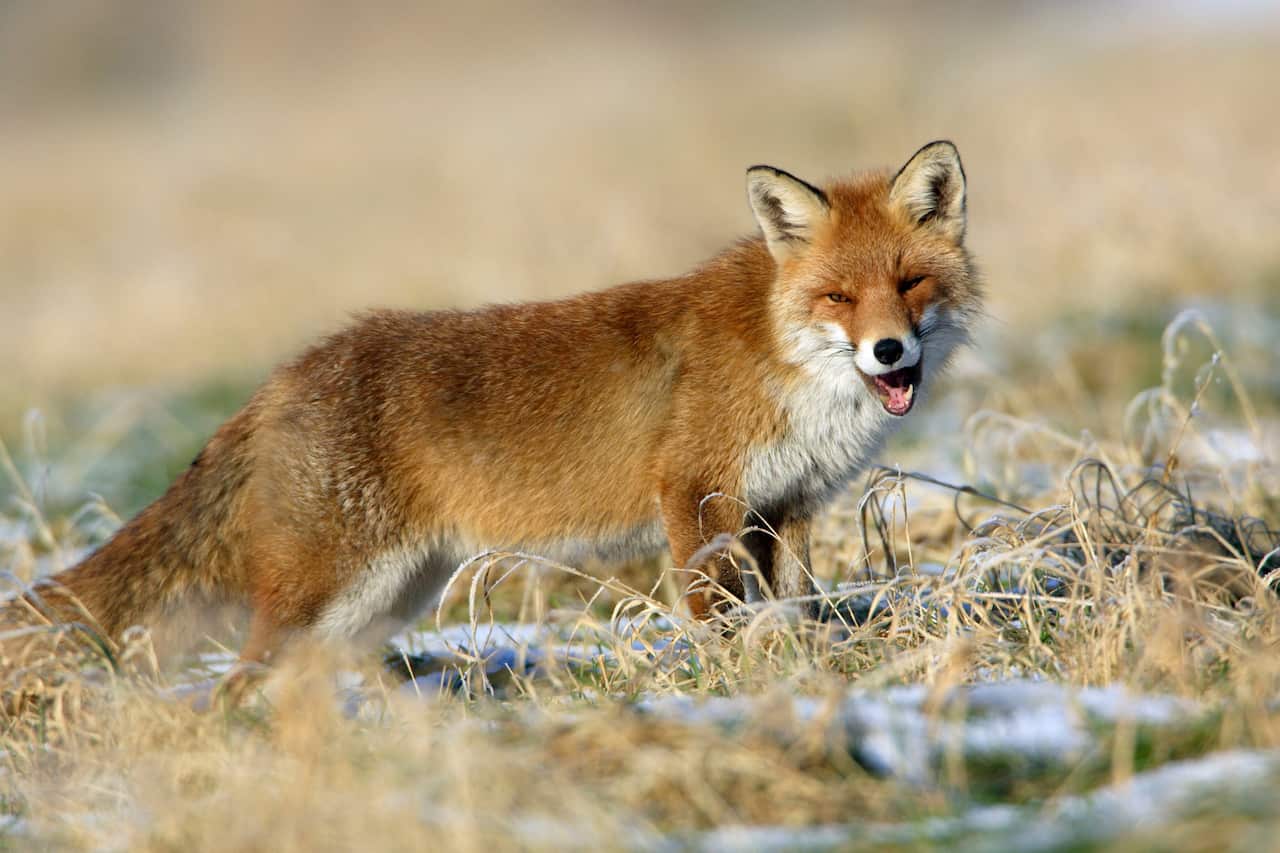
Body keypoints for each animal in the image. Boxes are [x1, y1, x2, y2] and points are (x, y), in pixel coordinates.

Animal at [12, 141, 980, 666]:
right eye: (839, 298)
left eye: (908, 282)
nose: (890, 351)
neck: (784, 360)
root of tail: (287, 372)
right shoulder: (696, 492)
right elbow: (718, 613)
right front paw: (737, 684)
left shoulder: (785, 505)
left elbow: (796, 604)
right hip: (325, 593)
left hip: (383, 599)